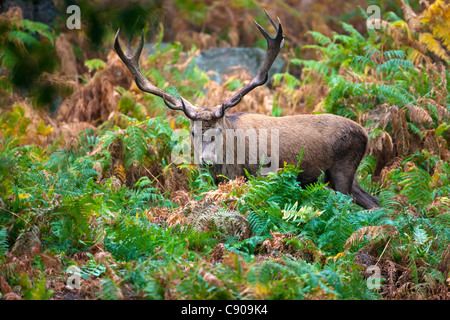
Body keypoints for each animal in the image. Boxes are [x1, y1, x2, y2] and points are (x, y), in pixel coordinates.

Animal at [113, 10, 380, 210]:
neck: (231, 166)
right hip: (350, 176)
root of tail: (366, 134)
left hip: (342, 169)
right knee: (375, 201)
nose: (207, 161)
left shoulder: (262, 174)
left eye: (219, 131)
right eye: (192, 132)